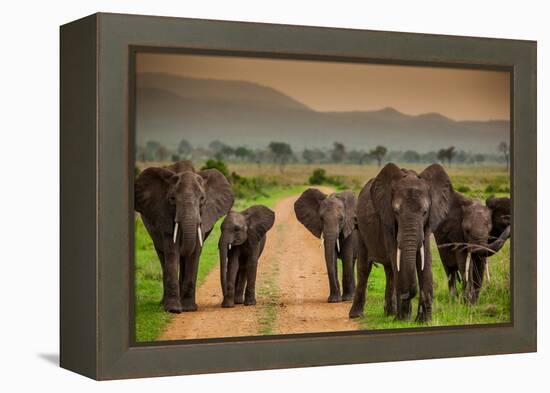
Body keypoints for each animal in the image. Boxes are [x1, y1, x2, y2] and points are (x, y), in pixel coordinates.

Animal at [137, 159, 235, 312]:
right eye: (172, 199)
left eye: (202, 199)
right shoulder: (164, 214)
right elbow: (172, 250)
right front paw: (173, 309)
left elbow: (194, 252)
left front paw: (189, 308)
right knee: (162, 256)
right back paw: (163, 304)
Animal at [352, 163, 454, 322]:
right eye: (396, 212)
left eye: (425, 212)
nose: (406, 294)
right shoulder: (387, 221)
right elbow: (397, 260)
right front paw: (403, 320)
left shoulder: (427, 225)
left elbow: (425, 261)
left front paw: (424, 321)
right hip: (361, 229)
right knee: (365, 267)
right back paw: (357, 315)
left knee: (390, 271)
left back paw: (390, 314)